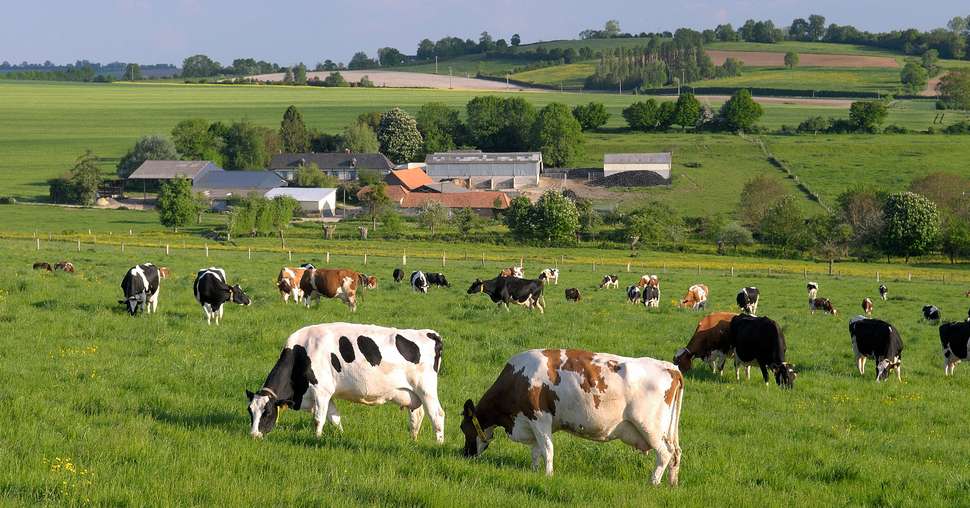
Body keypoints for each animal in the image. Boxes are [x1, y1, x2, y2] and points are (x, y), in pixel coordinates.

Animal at [248, 324, 448, 442]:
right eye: (250, 412)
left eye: (267, 412)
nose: (253, 435)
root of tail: (431, 334)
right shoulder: (328, 394)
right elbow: (334, 417)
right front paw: (340, 436)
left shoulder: (321, 391)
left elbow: (318, 419)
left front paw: (316, 439)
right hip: (412, 394)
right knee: (417, 416)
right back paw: (413, 441)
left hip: (426, 389)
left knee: (437, 415)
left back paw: (438, 444)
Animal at [460, 350, 680, 484]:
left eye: (463, 428)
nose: (464, 455)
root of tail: (671, 367)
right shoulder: (530, 423)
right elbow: (536, 451)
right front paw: (534, 471)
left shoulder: (540, 418)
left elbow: (547, 449)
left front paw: (548, 475)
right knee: (676, 454)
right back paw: (672, 484)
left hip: (650, 427)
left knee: (665, 454)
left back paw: (653, 483)